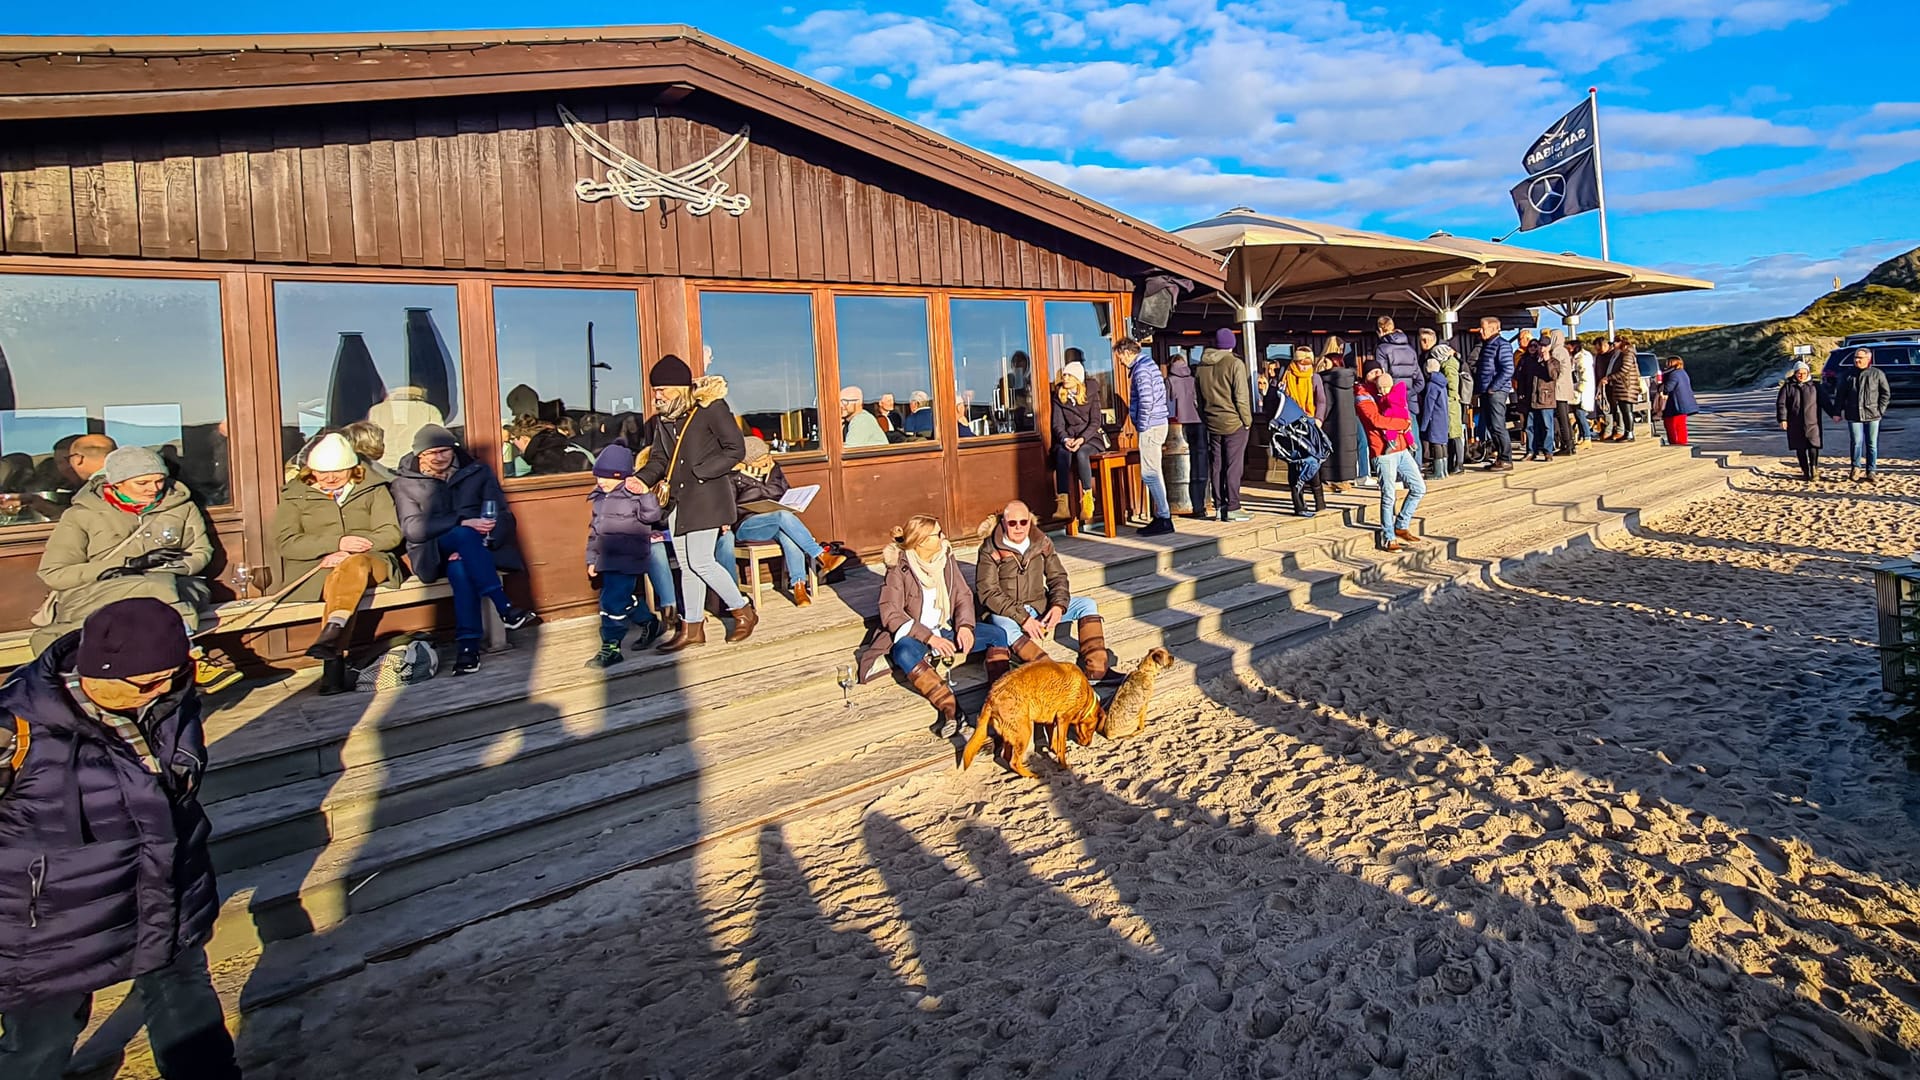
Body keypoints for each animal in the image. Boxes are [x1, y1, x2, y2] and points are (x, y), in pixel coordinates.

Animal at [967, 657, 1105, 772]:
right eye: (1092, 729)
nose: (1088, 744)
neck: (1085, 698)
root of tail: (991, 696)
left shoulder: (1051, 721)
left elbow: (1053, 742)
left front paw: (1055, 751)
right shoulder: (1063, 720)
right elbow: (1061, 745)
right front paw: (1064, 765)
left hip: (1012, 733)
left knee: (1006, 756)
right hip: (1025, 732)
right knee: (1014, 762)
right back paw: (1031, 775)